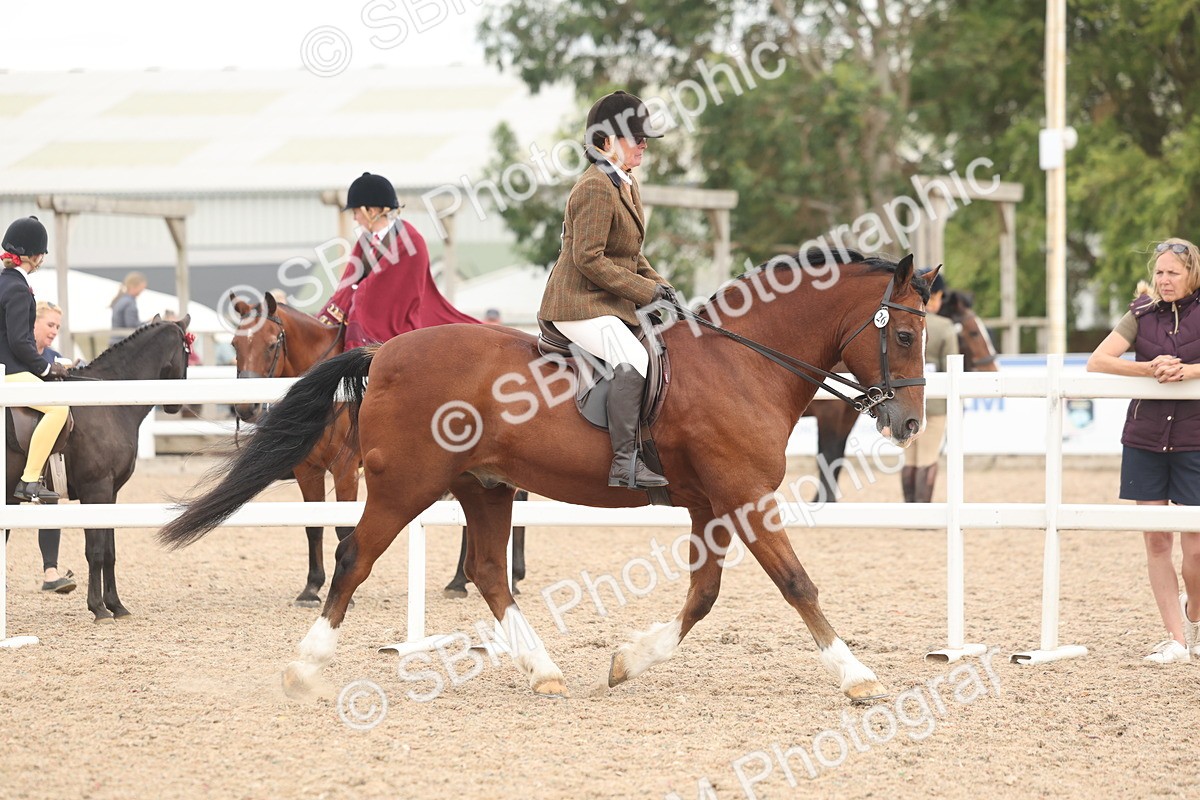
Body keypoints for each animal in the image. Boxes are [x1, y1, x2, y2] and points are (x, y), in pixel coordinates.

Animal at [5, 317, 192, 622]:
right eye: (186, 353)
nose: (176, 406)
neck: (107, 402)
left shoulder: (110, 494)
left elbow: (109, 551)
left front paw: (116, 605)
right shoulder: (96, 490)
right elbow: (95, 551)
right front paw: (98, 608)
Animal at [228, 293, 526, 604]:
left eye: (271, 343)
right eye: (235, 344)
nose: (245, 408)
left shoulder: (345, 468)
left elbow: (342, 525)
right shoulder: (307, 469)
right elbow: (313, 525)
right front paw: (311, 587)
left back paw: (491, 578)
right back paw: (466, 580)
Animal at [802, 295, 1000, 502]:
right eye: (974, 333)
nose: (993, 369)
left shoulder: (846, 418)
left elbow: (835, 460)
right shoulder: (829, 415)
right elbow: (828, 458)